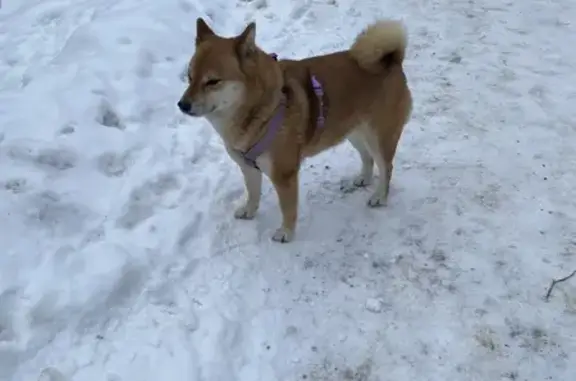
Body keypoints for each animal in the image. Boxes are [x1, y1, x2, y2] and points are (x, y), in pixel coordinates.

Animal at [178, 17, 412, 240]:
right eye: (189, 77)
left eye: (212, 81)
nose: (182, 105)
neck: (261, 108)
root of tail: (392, 60)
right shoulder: (248, 167)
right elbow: (253, 193)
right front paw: (249, 211)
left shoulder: (284, 175)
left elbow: (288, 209)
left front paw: (286, 233)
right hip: (353, 132)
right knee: (367, 157)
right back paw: (363, 179)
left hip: (378, 136)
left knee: (386, 167)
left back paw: (380, 196)